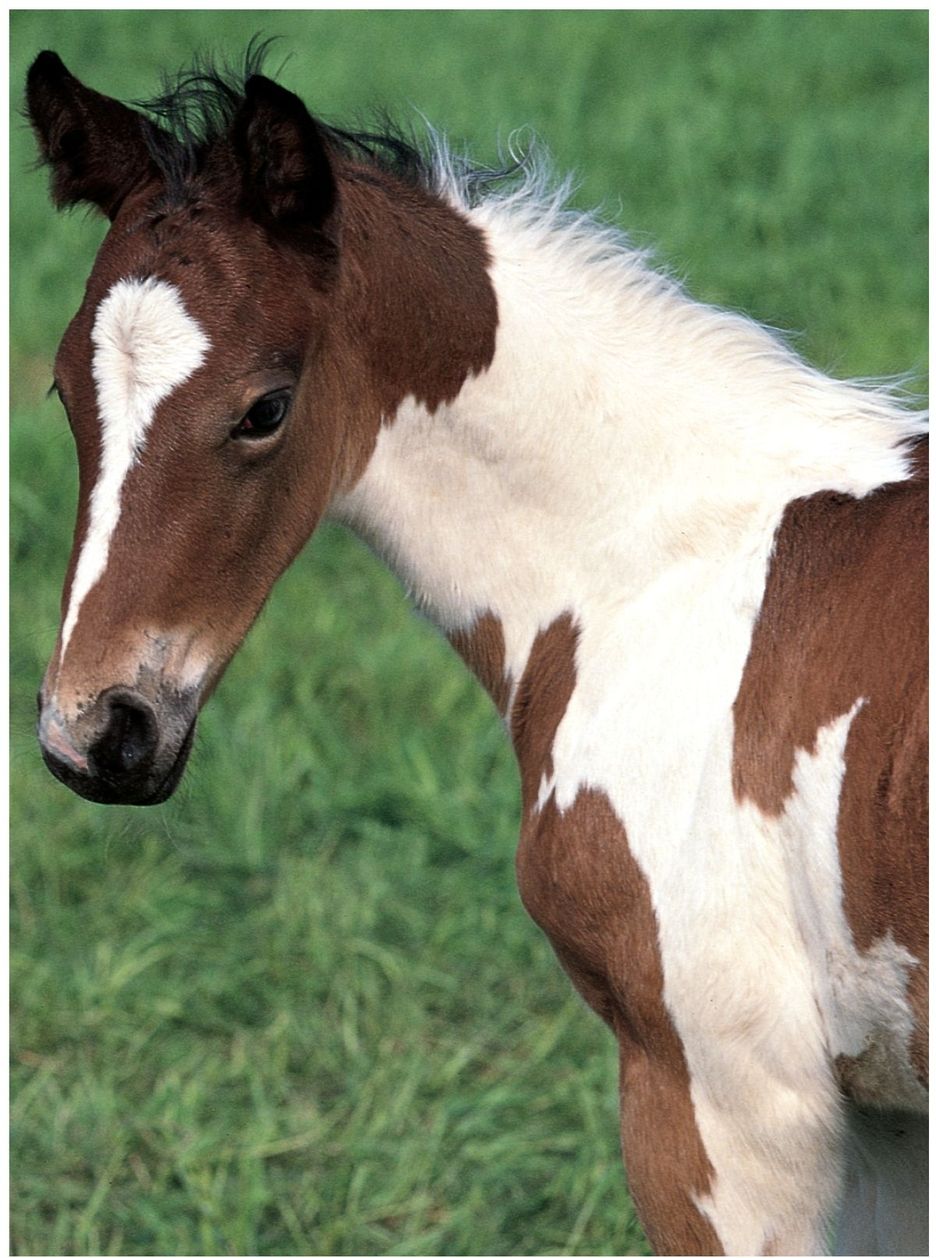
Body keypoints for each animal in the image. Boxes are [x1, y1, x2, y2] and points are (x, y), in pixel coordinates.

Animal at [25, 51, 925, 1258]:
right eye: (64, 389)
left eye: (265, 408)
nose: (98, 731)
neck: (655, 565)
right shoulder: (883, 1120)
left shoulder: (730, 1102)